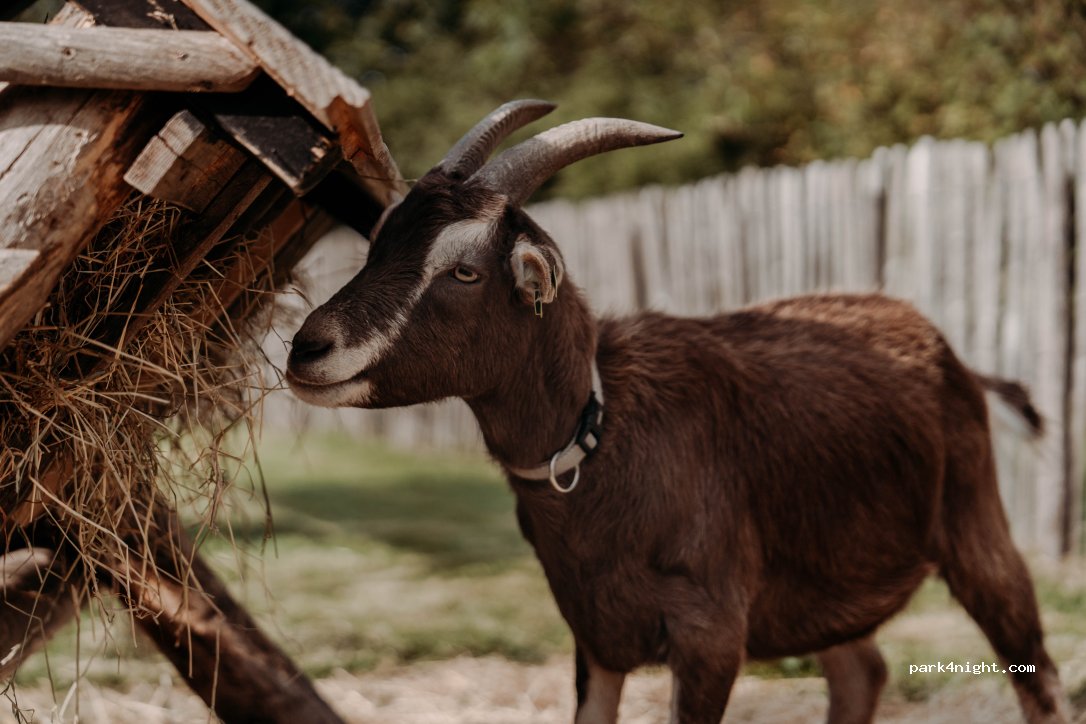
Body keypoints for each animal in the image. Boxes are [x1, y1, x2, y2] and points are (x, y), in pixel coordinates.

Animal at [285, 100, 1069, 724]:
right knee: (861, 673)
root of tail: (948, 353)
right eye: (380, 242)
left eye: (465, 270)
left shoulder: (710, 636)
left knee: (1036, 671)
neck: (603, 431)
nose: (307, 349)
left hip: (977, 525)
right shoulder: (594, 635)